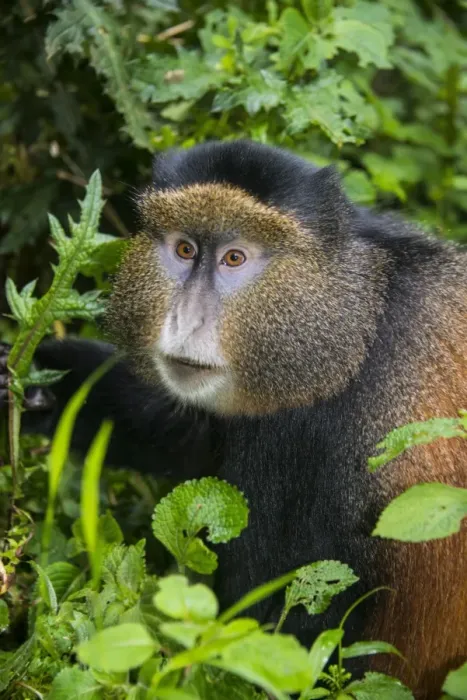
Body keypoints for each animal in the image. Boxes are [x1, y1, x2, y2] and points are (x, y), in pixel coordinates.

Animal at [1, 140, 466, 699]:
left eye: (234, 258)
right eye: (185, 250)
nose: (187, 319)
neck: (358, 322)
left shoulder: (331, 442)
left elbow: (286, 632)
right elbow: (190, 438)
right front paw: (30, 384)